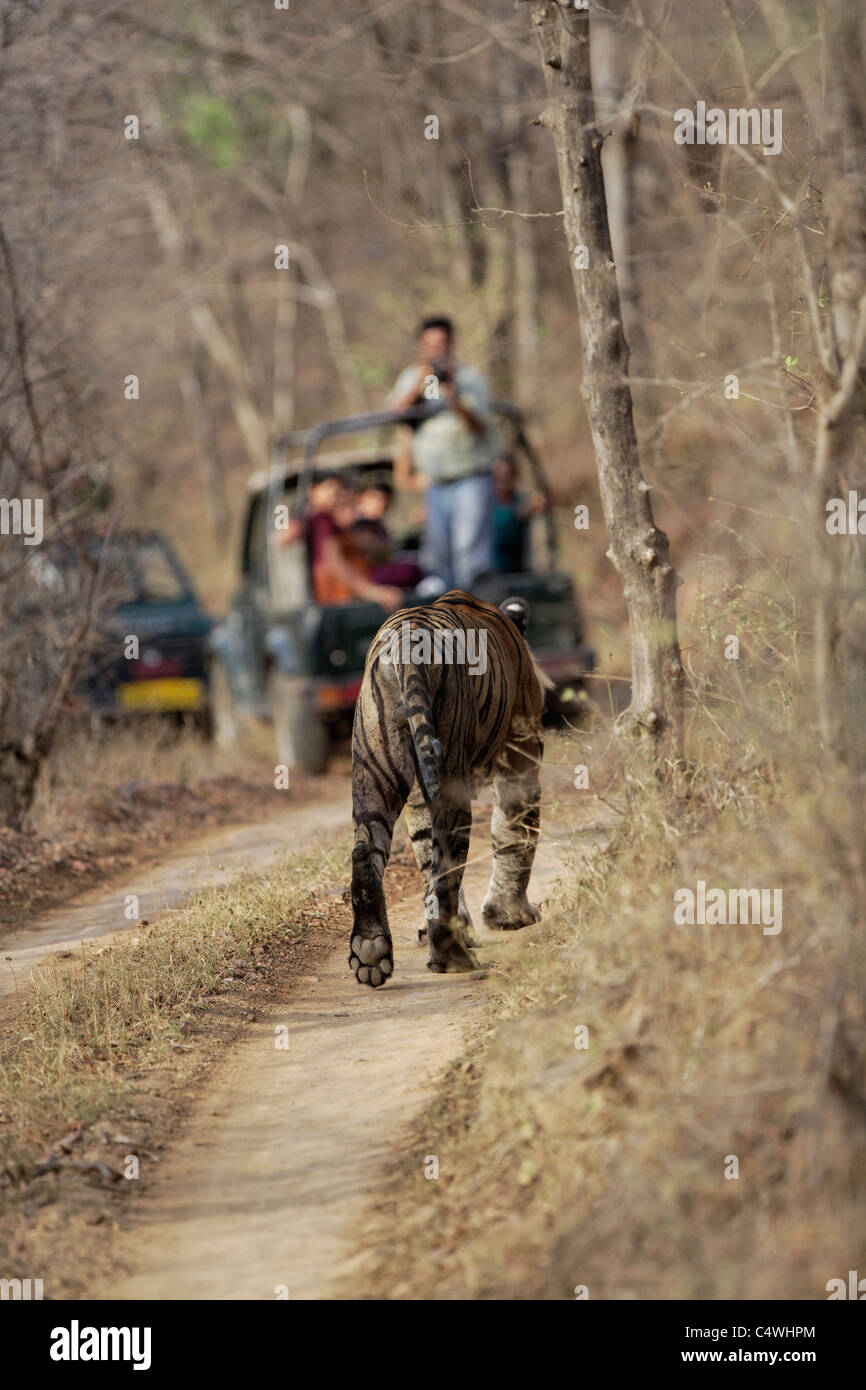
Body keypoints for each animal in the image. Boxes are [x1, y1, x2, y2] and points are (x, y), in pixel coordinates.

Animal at [347, 586, 544, 989]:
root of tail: (407, 640)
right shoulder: (523, 753)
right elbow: (515, 832)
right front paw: (510, 915)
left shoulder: (418, 795)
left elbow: (425, 857)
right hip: (451, 775)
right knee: (446, 869)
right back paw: (451, 957)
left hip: (376, 762)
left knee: (366, 849)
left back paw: (371, 950)